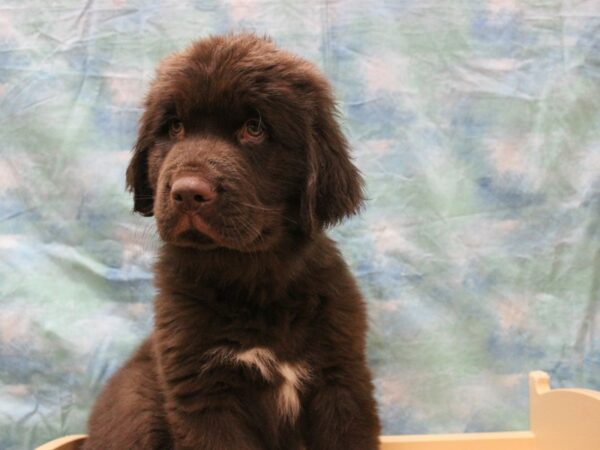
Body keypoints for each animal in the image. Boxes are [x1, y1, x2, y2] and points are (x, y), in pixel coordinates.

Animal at [84, 34, 380, 450]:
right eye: (175, 128)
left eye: (254, 129)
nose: (188, 193)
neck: (252, 277)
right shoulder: (205, 393)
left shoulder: (340, 381)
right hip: (136, 407)